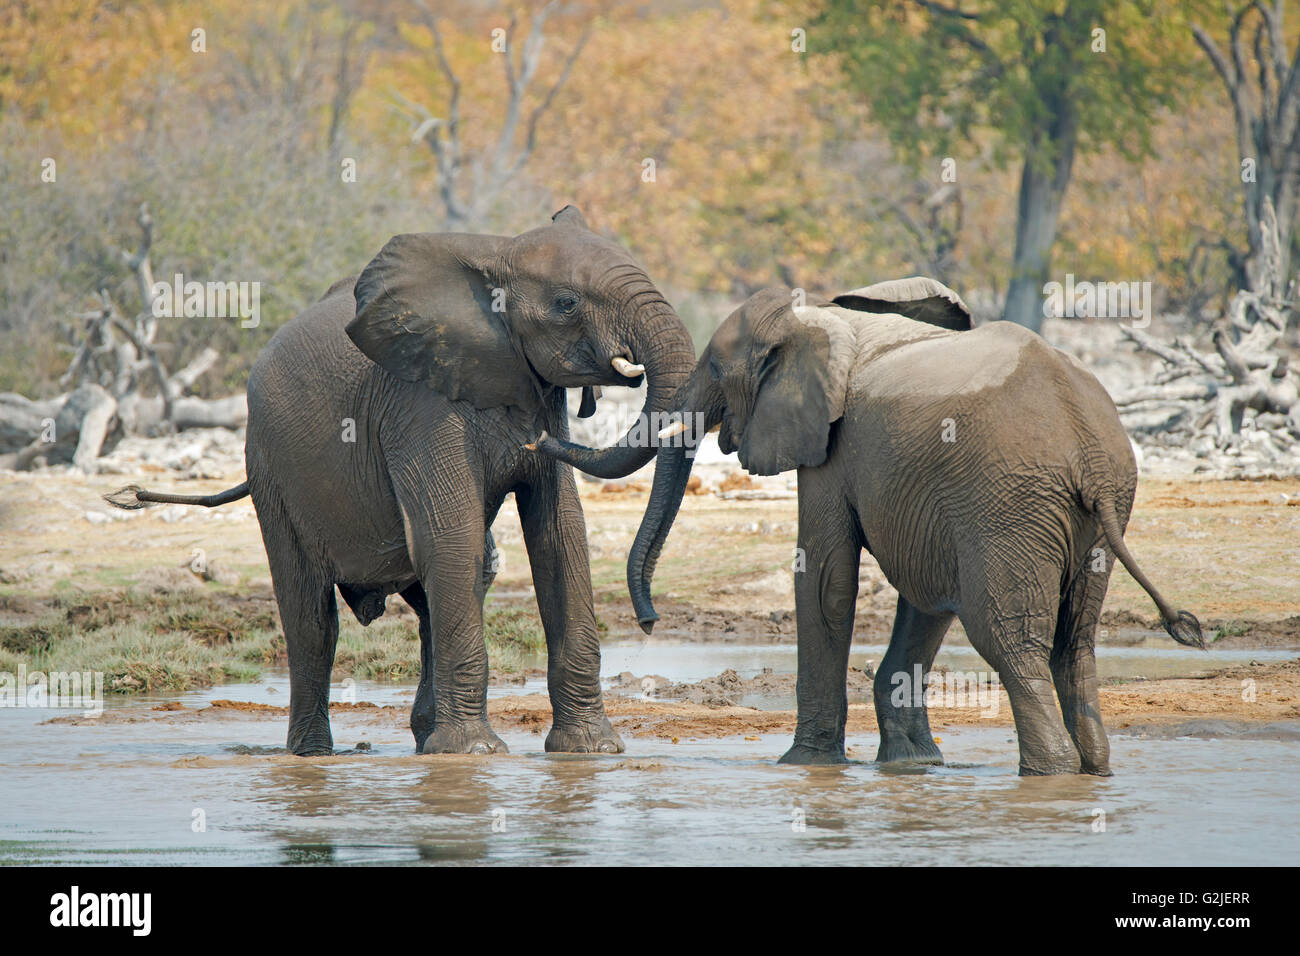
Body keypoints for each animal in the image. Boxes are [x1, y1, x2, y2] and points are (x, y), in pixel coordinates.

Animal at [107, 208, 702, 754]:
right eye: (567, 303)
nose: (649, 623)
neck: (497, 251)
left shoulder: (535, 393)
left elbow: (560, 537)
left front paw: (589, 752)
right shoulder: (420, 406)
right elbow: (452, 538)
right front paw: (474, 756)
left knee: (452, 582)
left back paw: (422, 739)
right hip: (270, 469)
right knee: (313, 619)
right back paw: (312, 757)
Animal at [540, 277, 1206, 780]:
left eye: (715, 368)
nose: (650, 623)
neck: (821, 319)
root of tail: (1088, 445)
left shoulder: (832, 448)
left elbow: (826, 580)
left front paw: (803, 766)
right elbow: (926, 593)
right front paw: (913, 767)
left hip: (1012, 502)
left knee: (1008, 637)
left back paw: (1052, 773)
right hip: (1089, 512)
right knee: (1074, 641)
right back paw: (1092, 771)